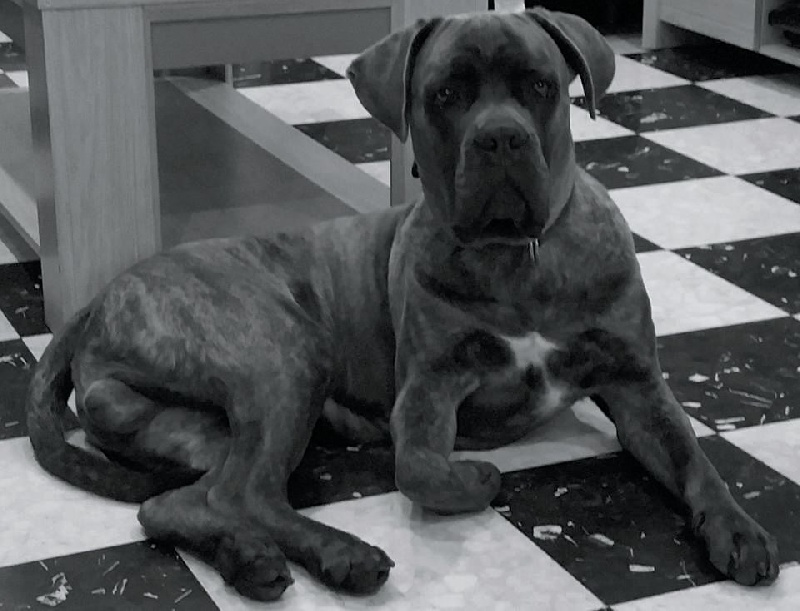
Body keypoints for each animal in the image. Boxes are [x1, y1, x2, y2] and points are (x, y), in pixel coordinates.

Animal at [27, 8, 779, 602]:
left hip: (201, 424)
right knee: (244, 494)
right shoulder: (429, 390)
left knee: (180, 501)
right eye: (445, 94)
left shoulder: (636, 385)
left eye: (541, 87)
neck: (517, 257)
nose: (499, 136)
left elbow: (696, 460)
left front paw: (739, 528)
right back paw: (340, 554)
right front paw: (476, 475)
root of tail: (102, 297)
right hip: (282, 357)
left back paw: (250, 560)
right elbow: (421, 470)